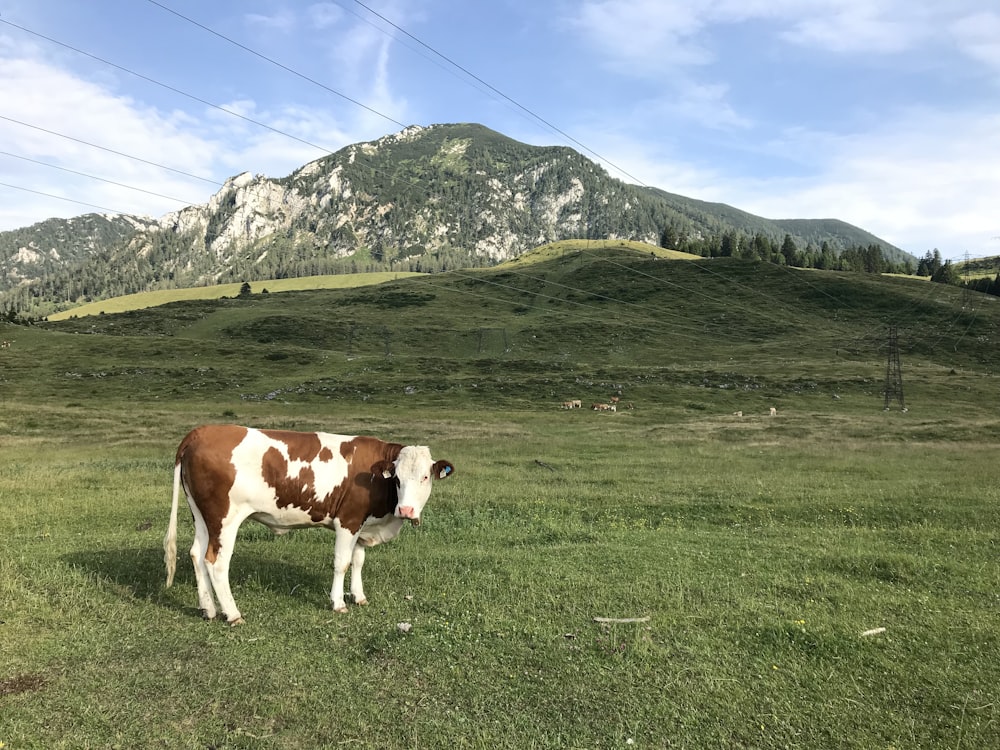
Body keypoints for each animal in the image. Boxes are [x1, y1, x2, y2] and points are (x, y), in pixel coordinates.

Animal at [163, 426, 454, 624]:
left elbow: (358, 561)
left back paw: (209, 609)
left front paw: (358, 596)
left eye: (425, 477)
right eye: (397, 478)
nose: (406, 510)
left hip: (203, 516)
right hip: (225, 518)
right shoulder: (348, 520)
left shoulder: (363, 524)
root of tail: (202, 431)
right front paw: (338, 603)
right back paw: (232, 613)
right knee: (216, 562)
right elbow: (342, 563)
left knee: (196, 554)